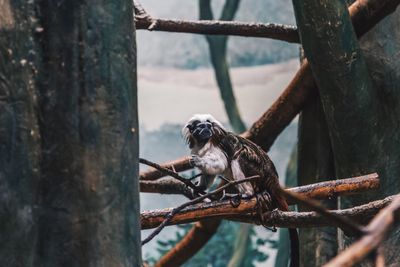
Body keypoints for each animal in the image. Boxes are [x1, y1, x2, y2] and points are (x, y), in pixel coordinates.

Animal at [183, 114, 298, 267]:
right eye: (201, 127)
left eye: (208, 126)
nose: (207, 130)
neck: (203, 142)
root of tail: (272, 177)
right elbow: (208, 173)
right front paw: (200, 188)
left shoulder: (215, 145)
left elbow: (220, 163)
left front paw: (198, 162)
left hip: (257, 171)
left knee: (238, 156)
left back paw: (247, 194)